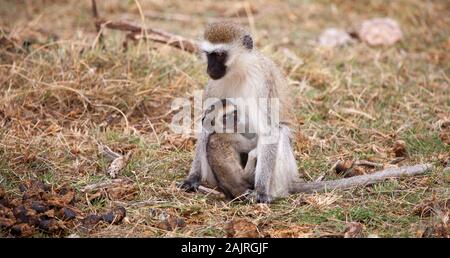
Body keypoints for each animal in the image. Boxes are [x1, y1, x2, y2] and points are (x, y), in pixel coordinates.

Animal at [178, 22, 428, 203]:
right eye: (208, 55)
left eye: (219, 55)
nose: (210, 68)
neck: (238, 71)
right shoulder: (214, 85)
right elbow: (206, 122)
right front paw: (192, 178)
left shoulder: (262, 81)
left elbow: (270, 130)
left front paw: (261, 191)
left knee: (281, 133)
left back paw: (265, 188)